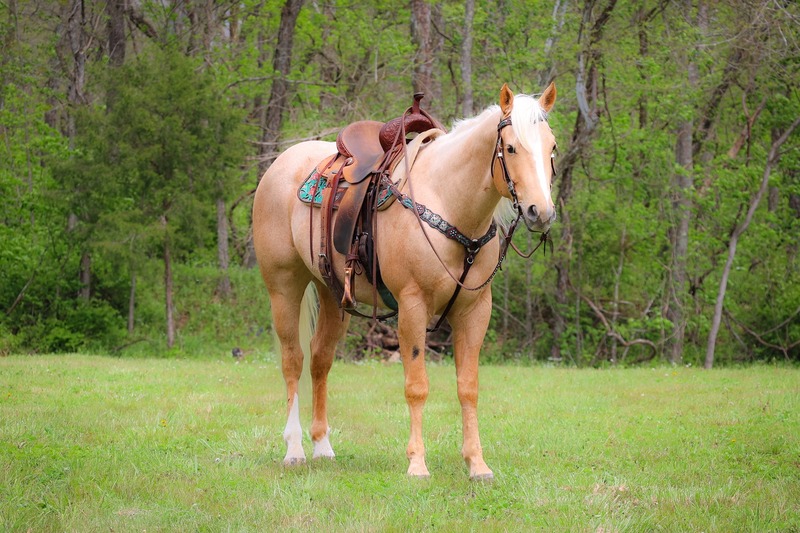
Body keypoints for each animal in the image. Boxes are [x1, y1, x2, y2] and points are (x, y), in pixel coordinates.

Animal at [255, 82, 556, 478]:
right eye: (510, 148)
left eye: (552, 147)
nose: (542, 212)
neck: (448, 202)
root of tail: (281, 162)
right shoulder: (412, 306)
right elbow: (417, 386)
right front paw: (417, 464)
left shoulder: (475, 309)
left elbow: (468, 387)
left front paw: (477, 464)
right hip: (283, 285)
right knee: (293, 360)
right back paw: (294, 449)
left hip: (332, 293)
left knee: (320, 359)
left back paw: (322, 446)